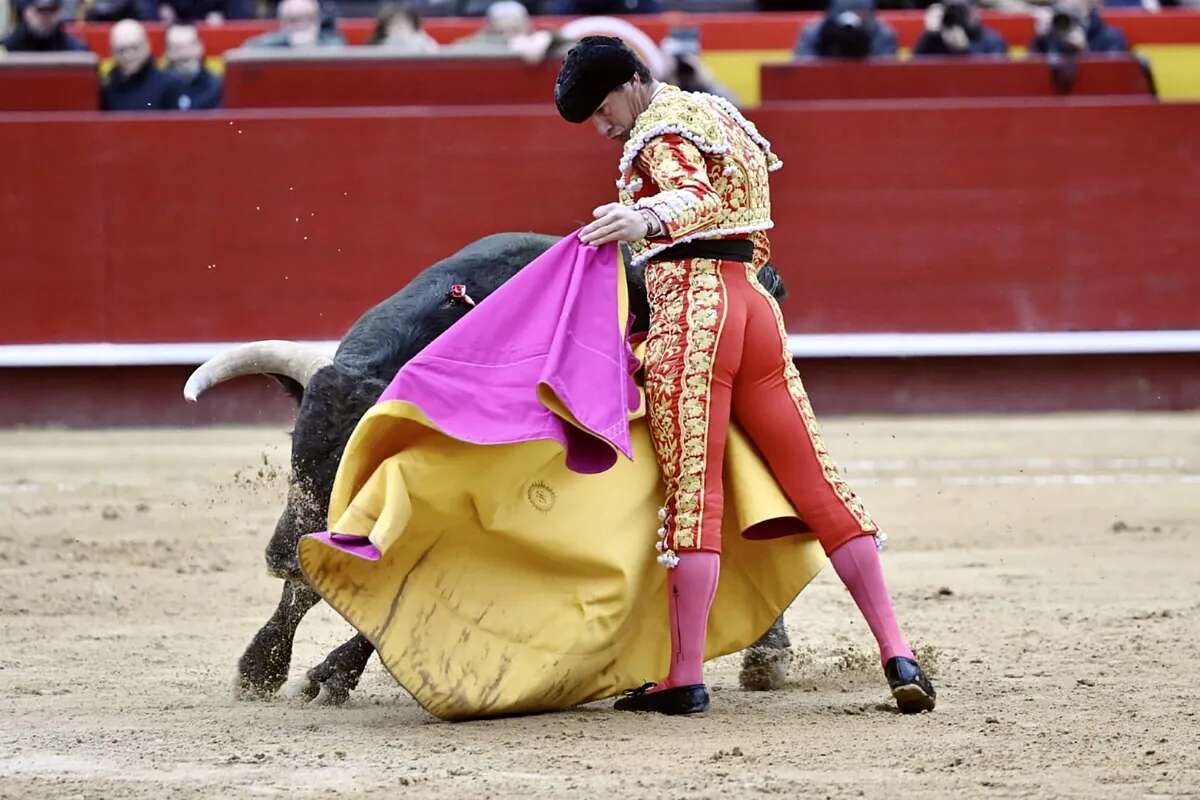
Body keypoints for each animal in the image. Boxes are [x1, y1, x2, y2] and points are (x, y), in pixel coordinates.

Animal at [184, 231, 796, 705]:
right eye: (297, 445)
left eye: (365, 457)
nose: (280, 557)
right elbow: (325, 586)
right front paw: (259, 669)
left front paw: (327, 675)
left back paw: (766, 658)